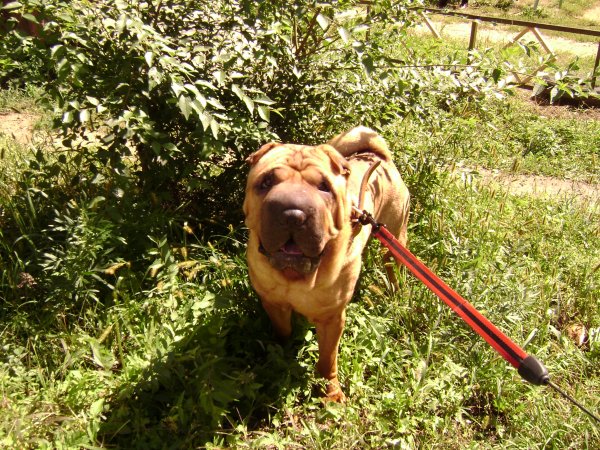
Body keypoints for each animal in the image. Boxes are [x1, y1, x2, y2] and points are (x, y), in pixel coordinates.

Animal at [243, 127, 409, 402]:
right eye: (266, 182)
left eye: (324, 187)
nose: (293, 214)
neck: (295, 277)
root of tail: (378, 156)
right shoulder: (274, 303)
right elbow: (283, 331)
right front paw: (280, 354)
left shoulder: (332, 319)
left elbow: (327, 360)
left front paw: (330, 393)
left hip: (396, 237)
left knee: (393, 268)